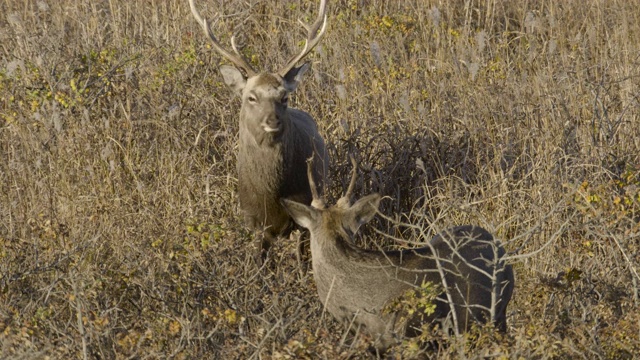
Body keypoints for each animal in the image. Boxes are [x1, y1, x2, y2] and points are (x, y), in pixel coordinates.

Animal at [189, 0, 330, 262]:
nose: (273, 121)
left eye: (284, 97)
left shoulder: (305, 209)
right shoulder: (254, 219)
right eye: (251, 97)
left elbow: (304, 259)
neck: (271, 194)